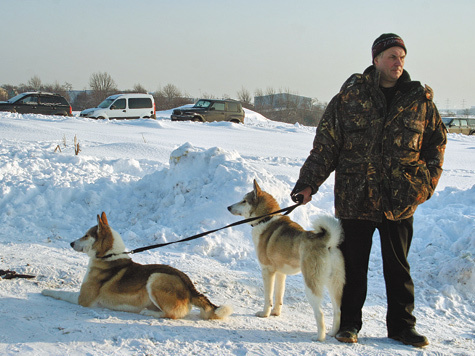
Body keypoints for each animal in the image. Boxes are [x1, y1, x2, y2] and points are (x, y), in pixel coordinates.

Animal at [42, 213, 232, 322]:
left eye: (86, 235)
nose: (71, 243)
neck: (108, 255)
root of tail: (190, 287)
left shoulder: (84, 299)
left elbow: (60, 292)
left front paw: (45, 291)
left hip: (156, 278)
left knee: (172, 314)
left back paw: (150, 313)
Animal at [228, 181, 346, 342]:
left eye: (244, 201)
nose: (228, 207)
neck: (266, 219)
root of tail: (327, 241)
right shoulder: (280, 273)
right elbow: (279, 295)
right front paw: (276, 313)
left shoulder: (267, 271)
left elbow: (268, 297)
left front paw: (264, 314)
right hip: (334, 284)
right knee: (338, 310)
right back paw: (332, 333)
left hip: (311, 284)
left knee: (320, 313)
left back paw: (319, 337)